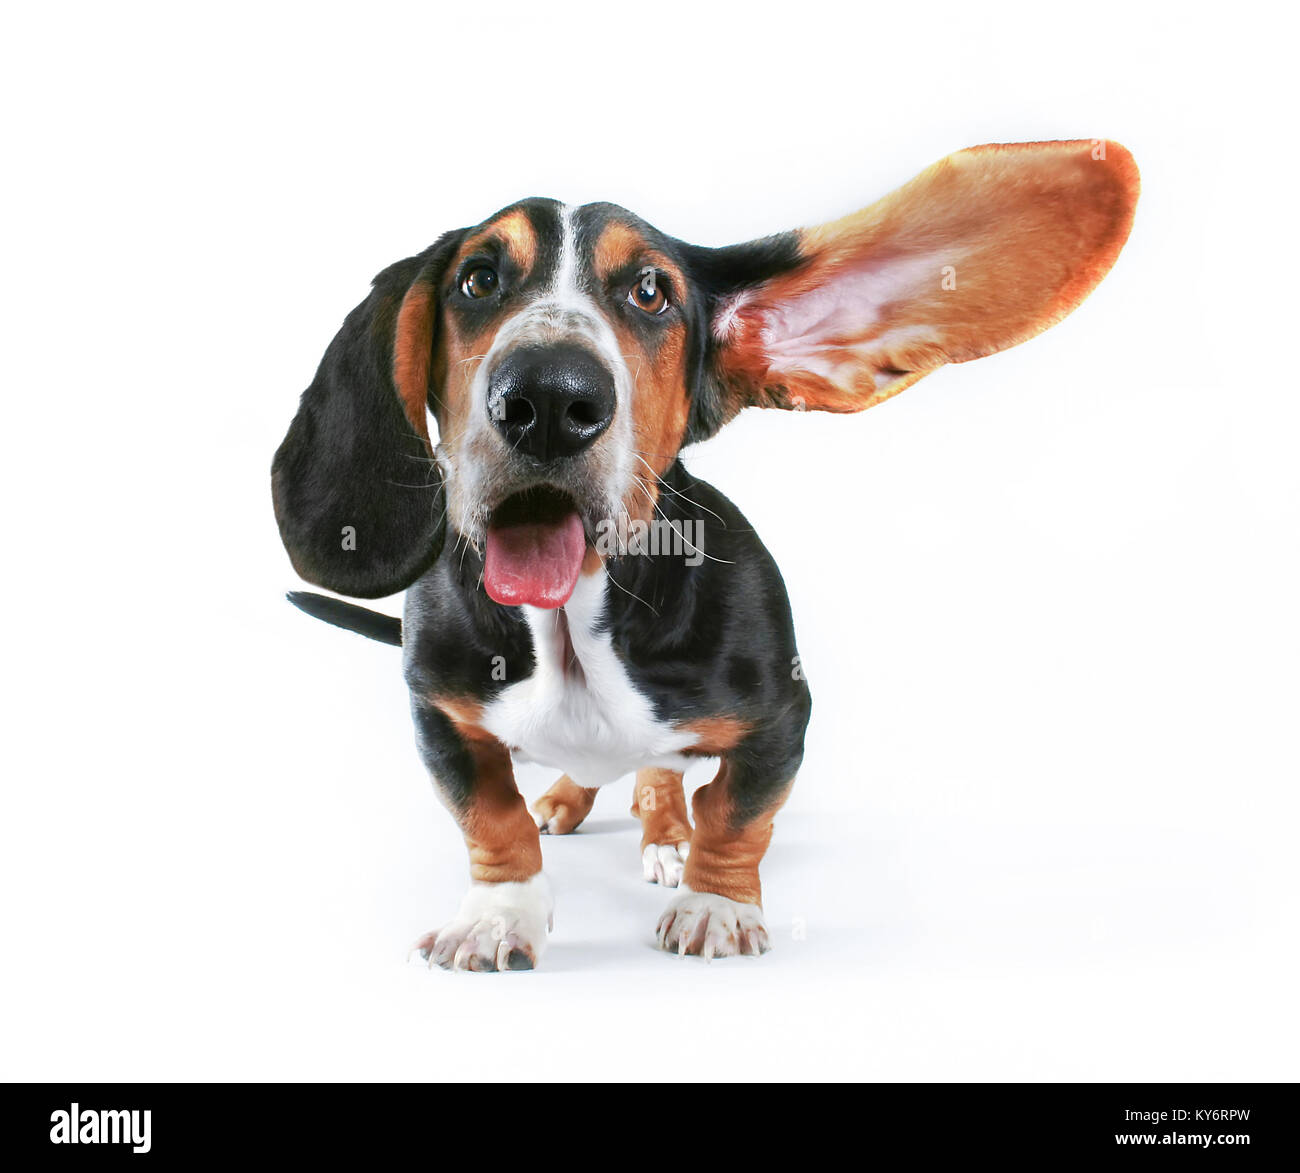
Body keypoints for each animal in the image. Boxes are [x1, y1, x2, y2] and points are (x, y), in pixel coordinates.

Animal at [271, 137, 1138, 972]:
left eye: (650, 291)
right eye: (478, 280)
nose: (547, 397)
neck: (572, 628)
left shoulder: (784, 718)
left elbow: (735, 815)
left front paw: (715, 903)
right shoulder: (439, 716)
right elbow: (492, 820)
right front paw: (497, 916)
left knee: (663, 780)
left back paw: (663, 836)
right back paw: (566, 799)